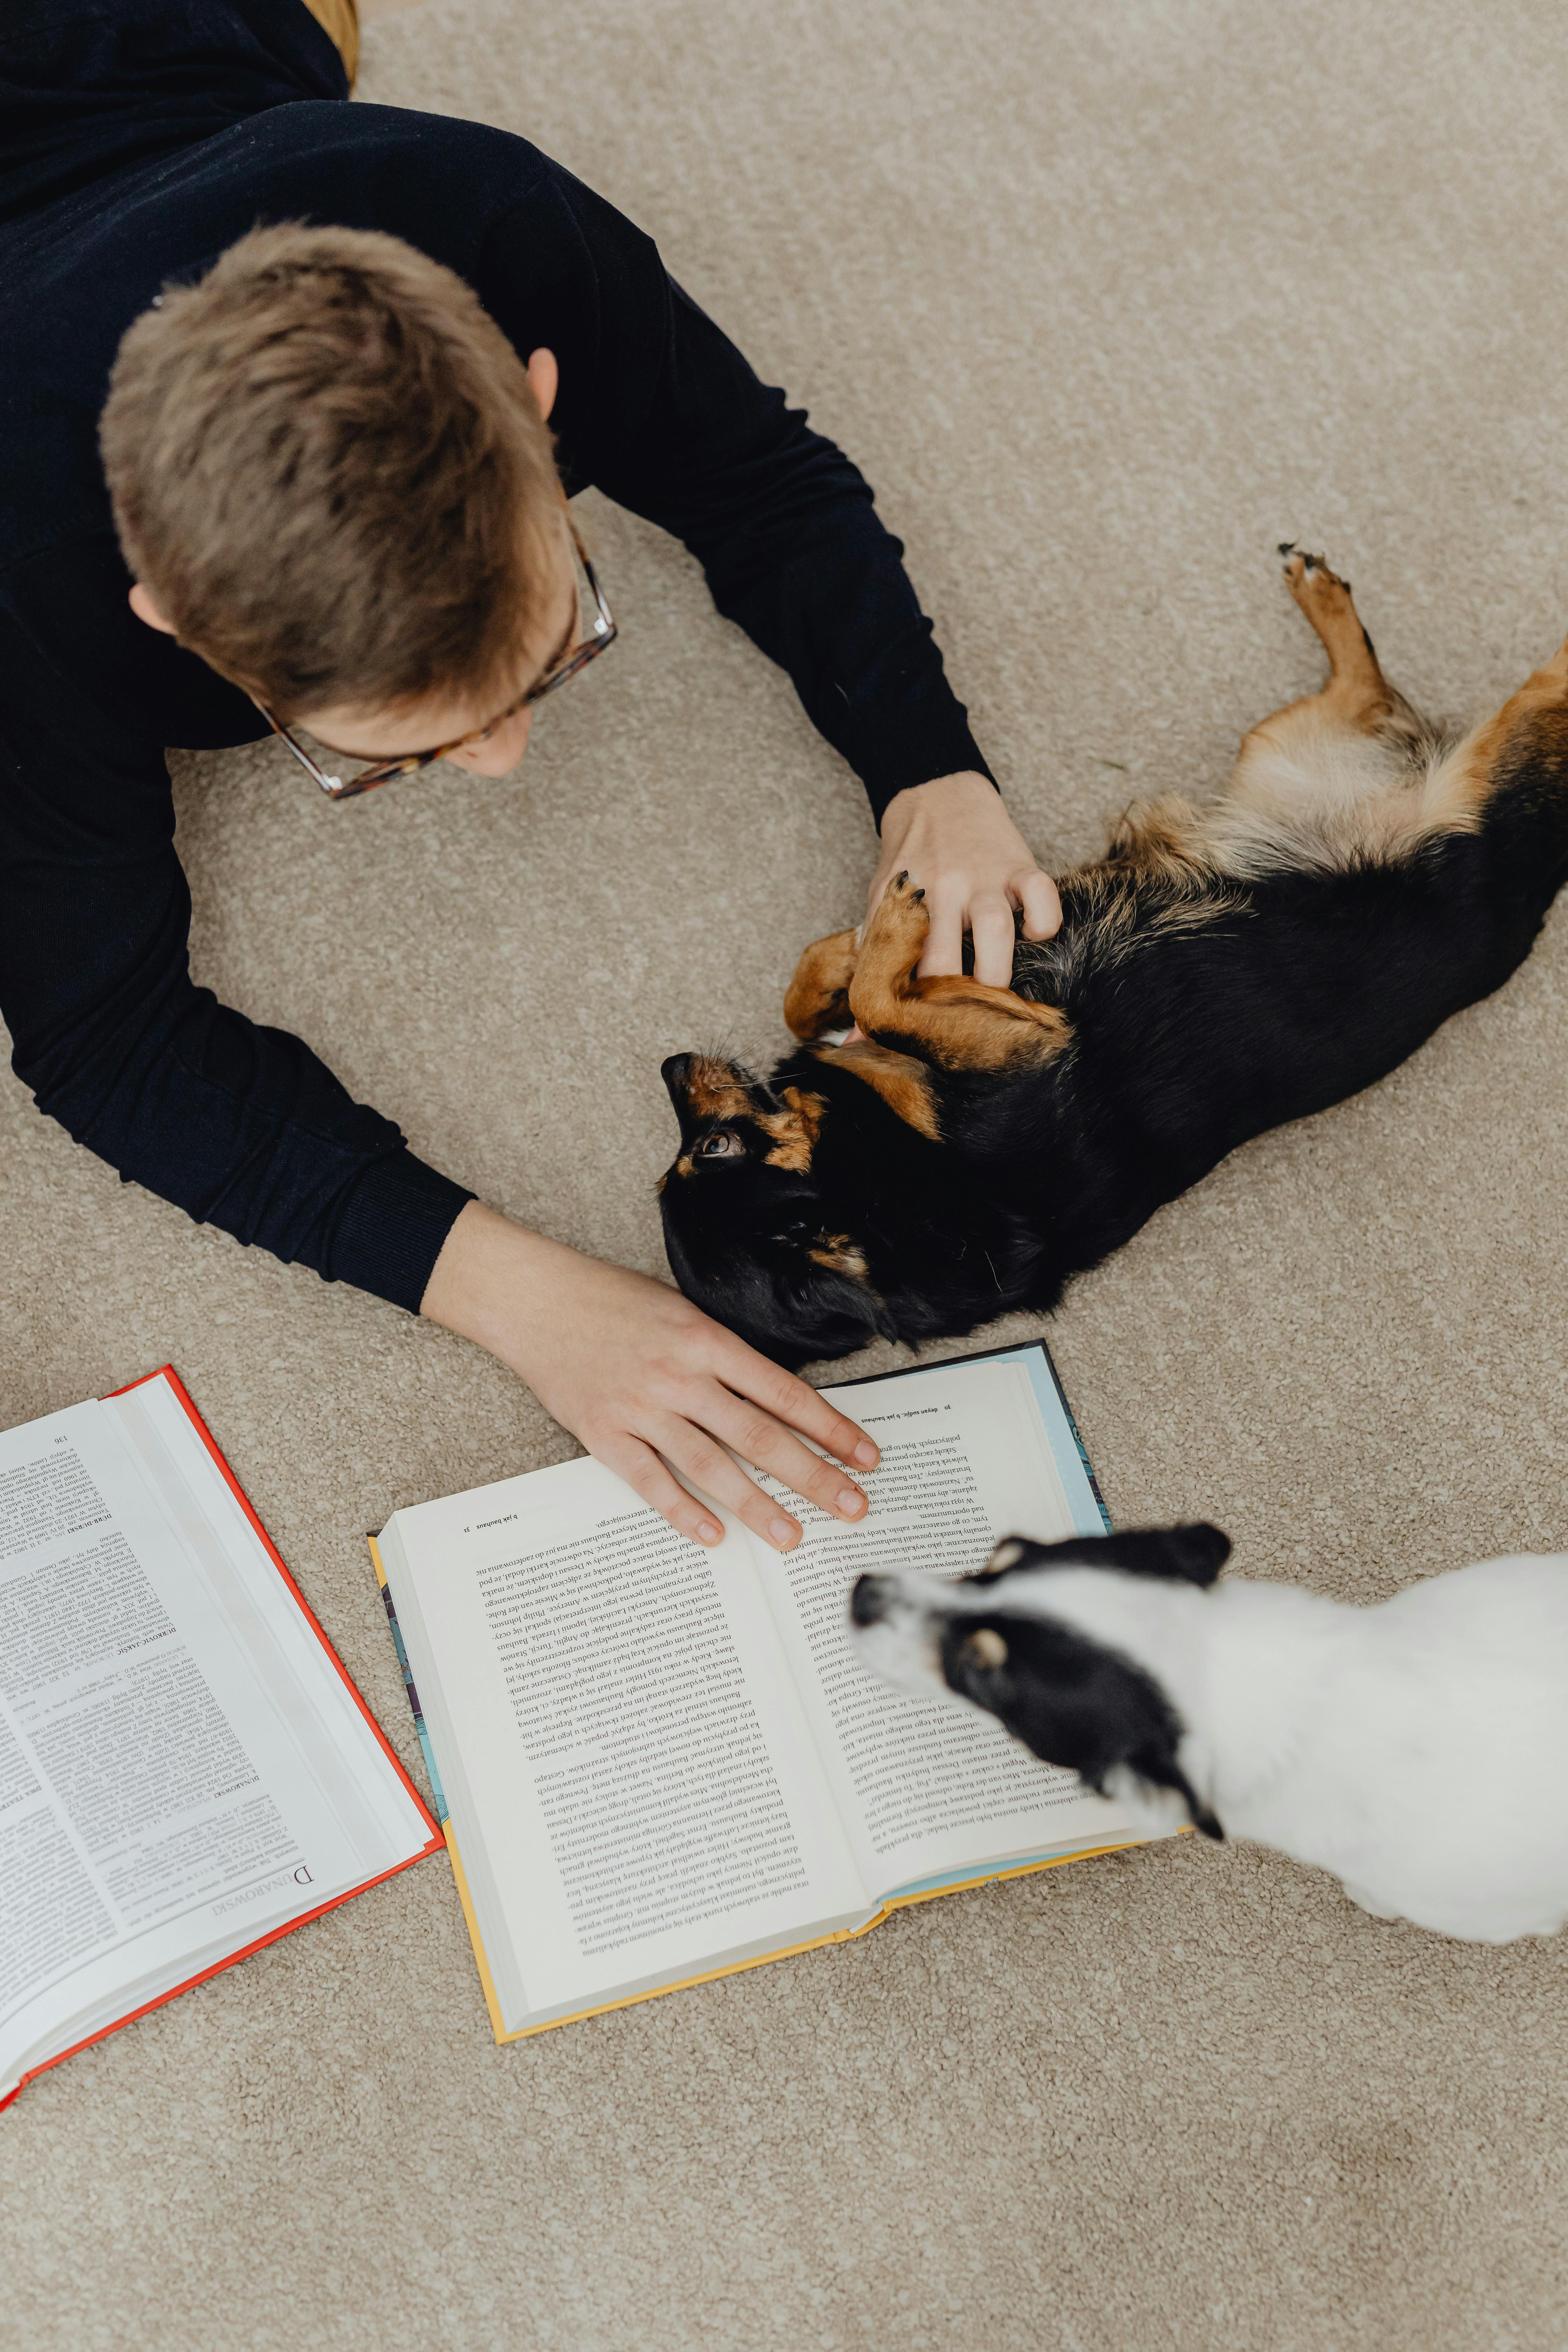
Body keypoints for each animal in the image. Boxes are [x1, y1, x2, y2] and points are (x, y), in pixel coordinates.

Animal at [658, 548, 1568, 1364]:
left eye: (704, 1153)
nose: (669, 1065)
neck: (877, 1177)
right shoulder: (1028, 1042)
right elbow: (879, 1004)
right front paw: (892, 936)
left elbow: (819, 982)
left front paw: (870, 945)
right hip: (1466, 792)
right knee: (1539, 688)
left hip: (1280, 743)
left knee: (1372, 687)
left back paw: (1320, 592)